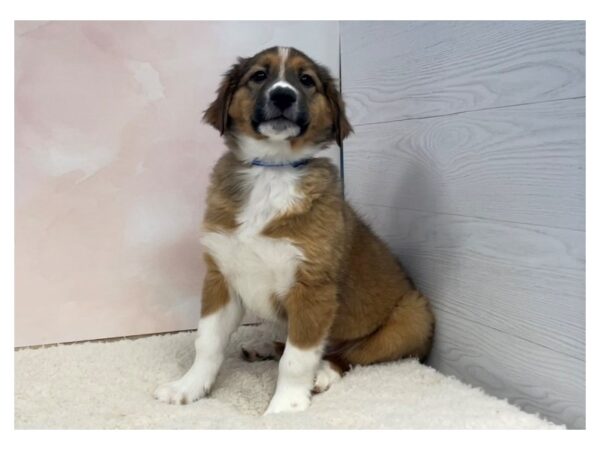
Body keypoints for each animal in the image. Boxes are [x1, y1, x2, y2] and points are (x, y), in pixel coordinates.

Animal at [154, 47, 436, 414]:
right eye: (259, 76)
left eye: (306, 80)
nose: (283, 95)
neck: (272, 170)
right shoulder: (221, 277)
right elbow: (207, 342)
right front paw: (188, 386)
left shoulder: (312, 289)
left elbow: (297, 359)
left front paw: (284, 409)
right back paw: (264, 348)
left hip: (413, 317)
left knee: (349, 355)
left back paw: (324, 373)